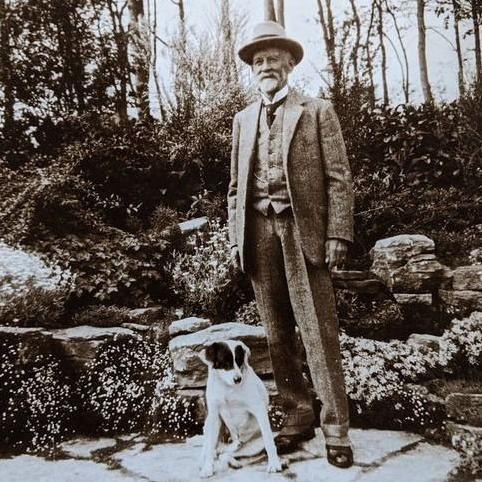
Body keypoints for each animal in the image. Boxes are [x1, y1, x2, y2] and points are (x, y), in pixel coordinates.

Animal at [199, 340, 282, 476]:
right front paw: (207, 468)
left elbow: (269, 440)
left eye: (239, 361)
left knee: (228, 453)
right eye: (225, 363)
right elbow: (210, 447)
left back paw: (235, 453)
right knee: (216, 450)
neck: (228, 388)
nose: (238, 379)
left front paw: (274, 464)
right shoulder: (214, 415)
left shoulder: (258, 408)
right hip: (208, 424)